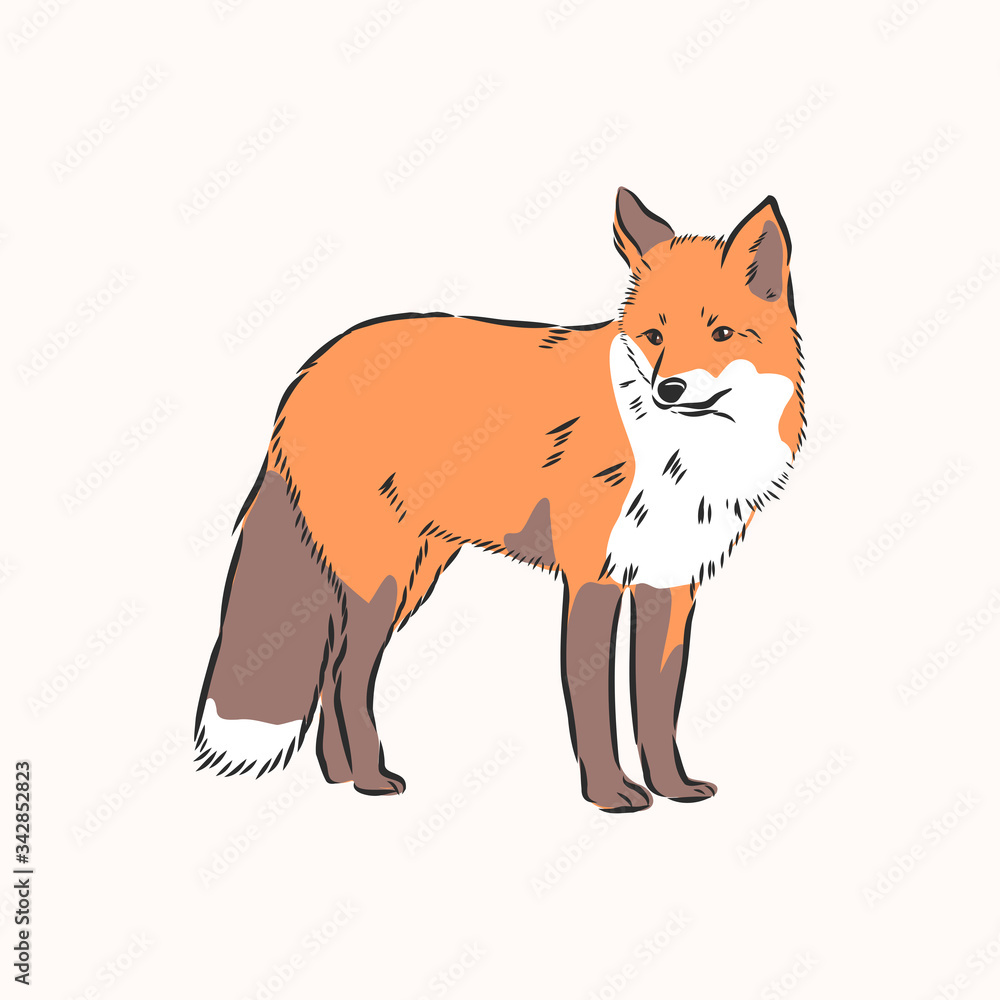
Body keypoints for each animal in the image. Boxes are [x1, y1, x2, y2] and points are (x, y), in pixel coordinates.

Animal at [194, 188, 804, 812]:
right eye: (655, 338)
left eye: (721, 334)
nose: (669, 389)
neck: (683, 457)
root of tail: (308, 369)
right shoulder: (592, 579)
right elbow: (594, 709)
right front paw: (611, 794)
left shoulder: (670, 586)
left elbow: (657, 708)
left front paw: (673, 789)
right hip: (384, 579)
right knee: (345, 674)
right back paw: (369, 777)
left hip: (409, 575)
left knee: (331, 669)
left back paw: (340, 776)